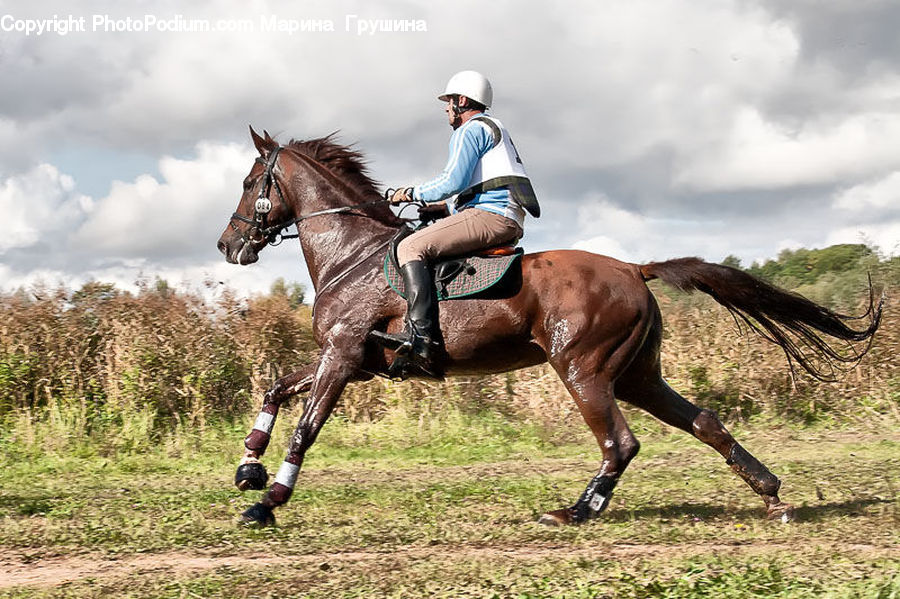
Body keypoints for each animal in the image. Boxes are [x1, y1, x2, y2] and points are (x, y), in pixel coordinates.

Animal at [217, 127, 883, 528]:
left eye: (251, 183)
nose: (227, 245)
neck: (350, 252)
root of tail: (634, 268)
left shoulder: (343, 353)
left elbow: (306, 429)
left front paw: (269, 501)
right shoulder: (352, 361)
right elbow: (276, 388)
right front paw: (248, 466)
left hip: (582, 368)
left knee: (621, 442)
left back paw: (576, 511)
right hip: (637, 375)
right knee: (704, 423)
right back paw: (771, 495)